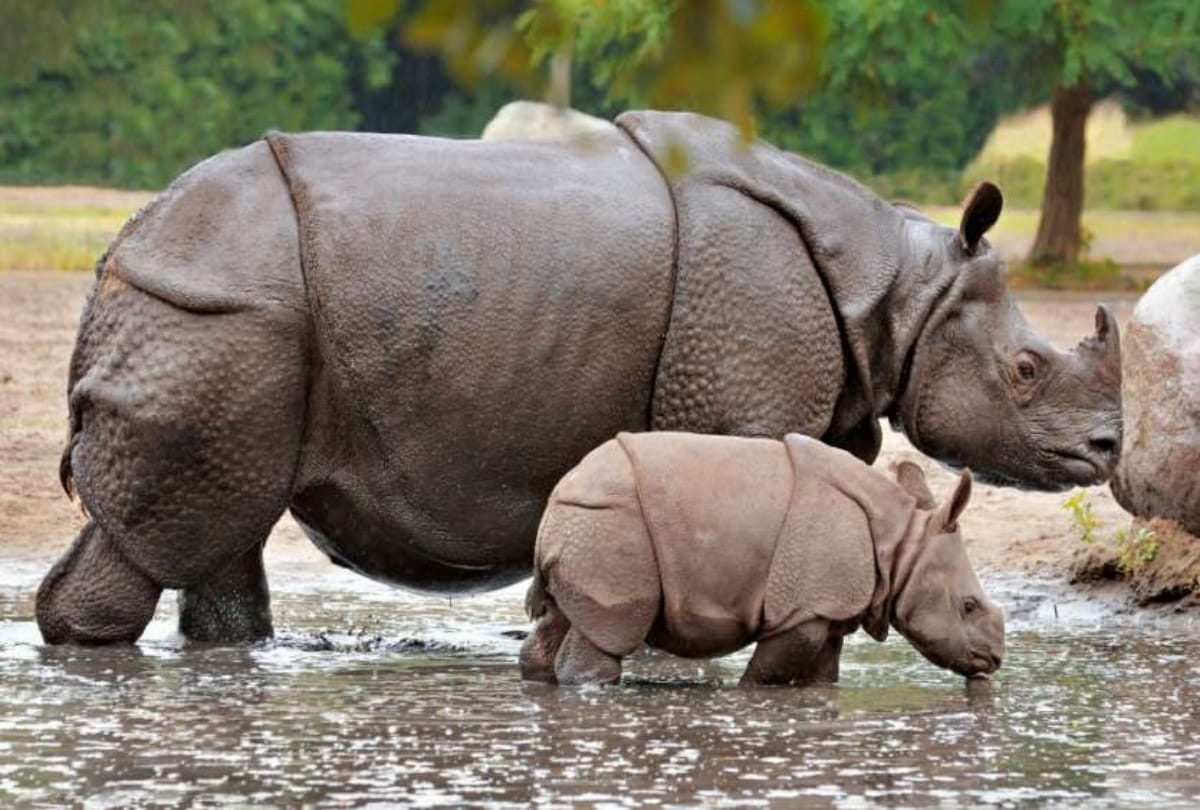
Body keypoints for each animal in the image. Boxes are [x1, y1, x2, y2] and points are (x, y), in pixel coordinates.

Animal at [37, 111, 1120, 646]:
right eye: (1025, 369)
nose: (1109, 448)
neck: (896, 289)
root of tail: (125, 247)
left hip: (224, 320)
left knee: (222, 530)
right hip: (221, 315)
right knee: (175, 536)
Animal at [521, 432, 1004, 686]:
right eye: (968, 606)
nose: (994, 660)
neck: (900, 543)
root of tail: (556, 502)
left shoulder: (827, 605)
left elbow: (821, 676)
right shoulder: (803, 609)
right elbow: (768, 674)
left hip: (591, 522)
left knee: (562, 620)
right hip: (610, 524)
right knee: (609, 633)